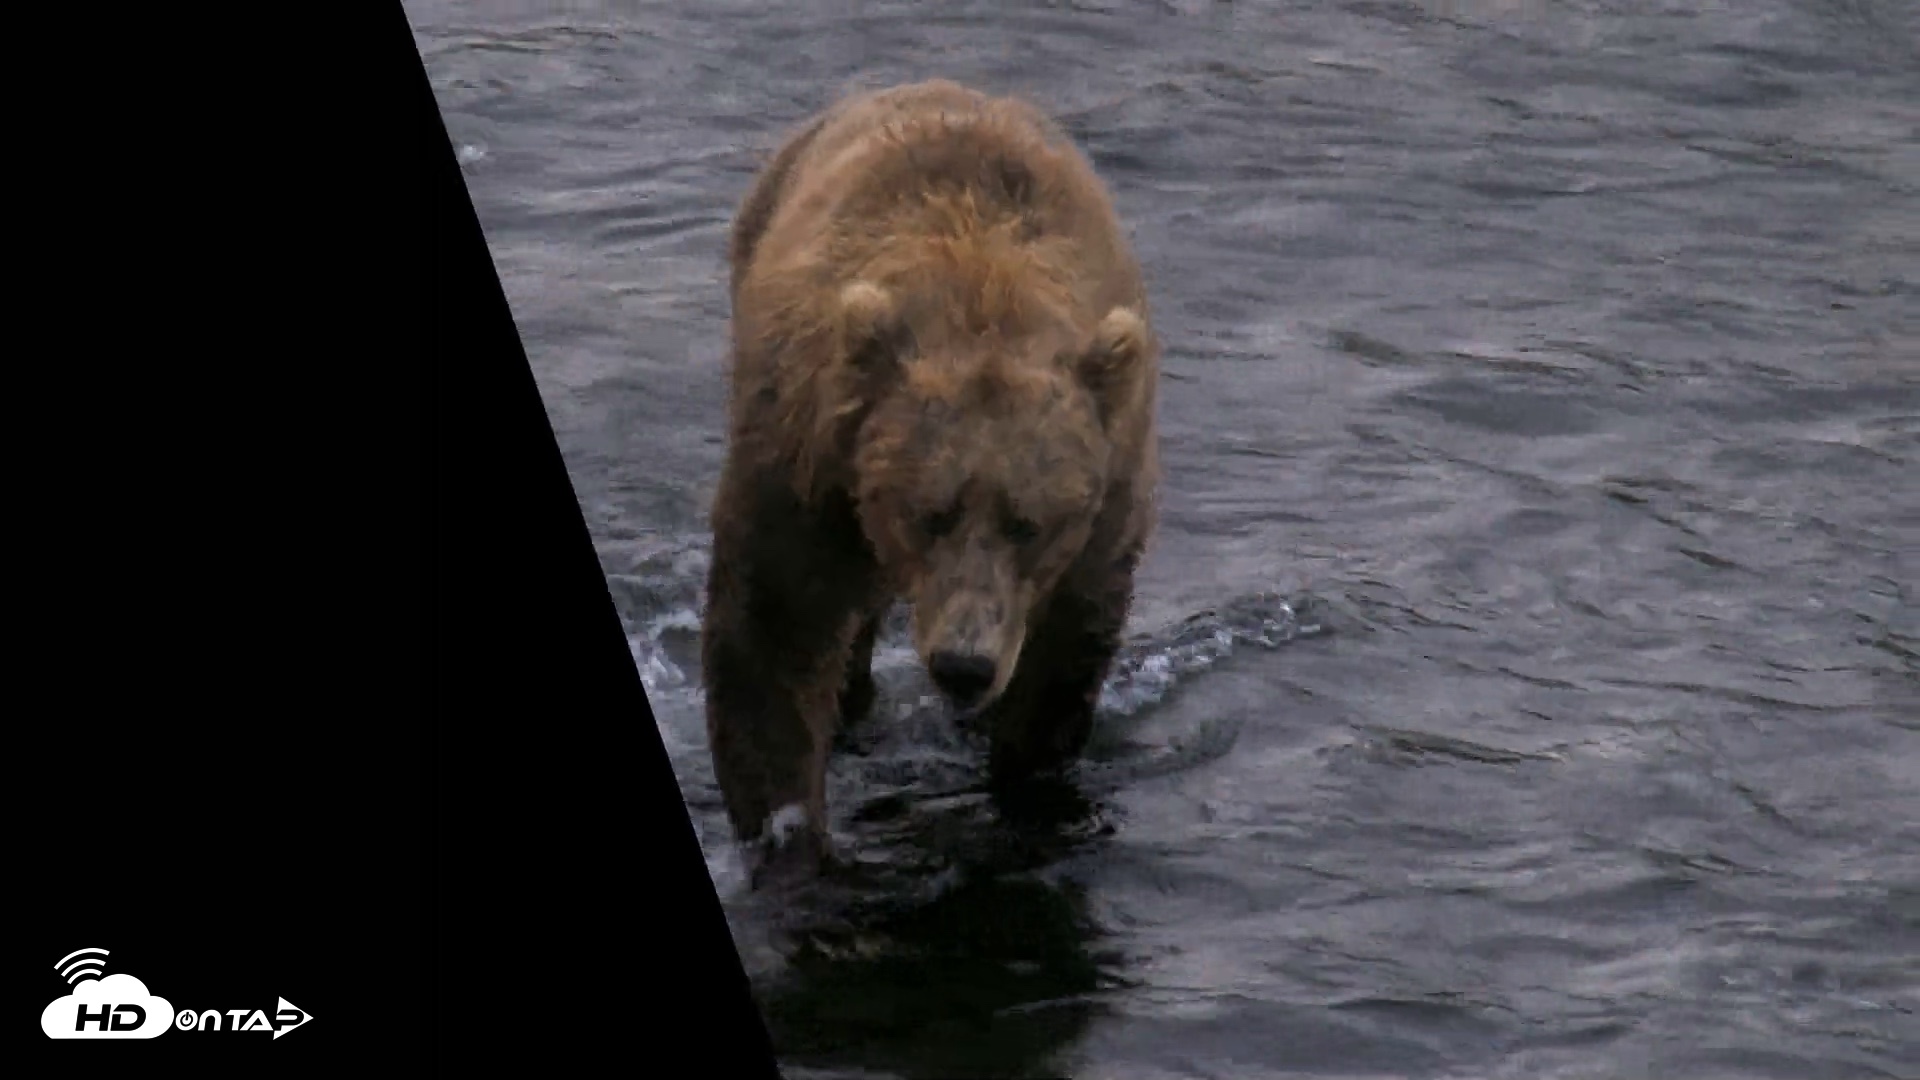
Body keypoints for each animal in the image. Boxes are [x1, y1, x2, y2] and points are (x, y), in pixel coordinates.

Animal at [701, 79, 1160, 888]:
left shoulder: (1104, 511)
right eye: (929, 512)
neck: (984, 297)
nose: (964, 665)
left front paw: (1028, 798)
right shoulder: (806, 466)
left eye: (1030, 524)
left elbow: (1063, 659)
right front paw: (792, 840)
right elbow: (772, 636)